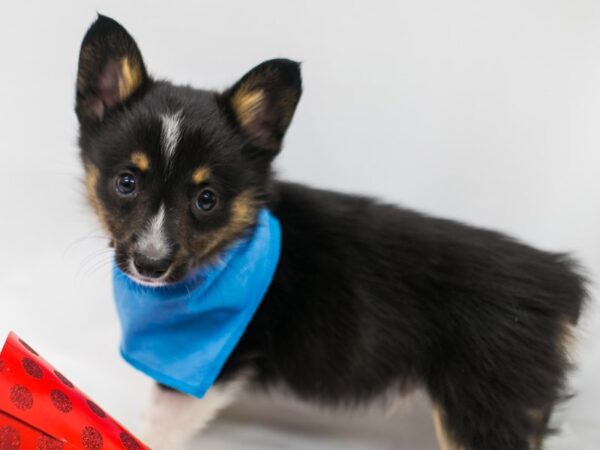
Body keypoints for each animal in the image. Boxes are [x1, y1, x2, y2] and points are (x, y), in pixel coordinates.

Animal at [77, 14, 588, 450]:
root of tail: (562, 281)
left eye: (206, 199)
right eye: (127, 182)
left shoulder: (206, 367)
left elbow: (157, 423)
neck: (226, 256)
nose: (150, 265)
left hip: (483, 405)